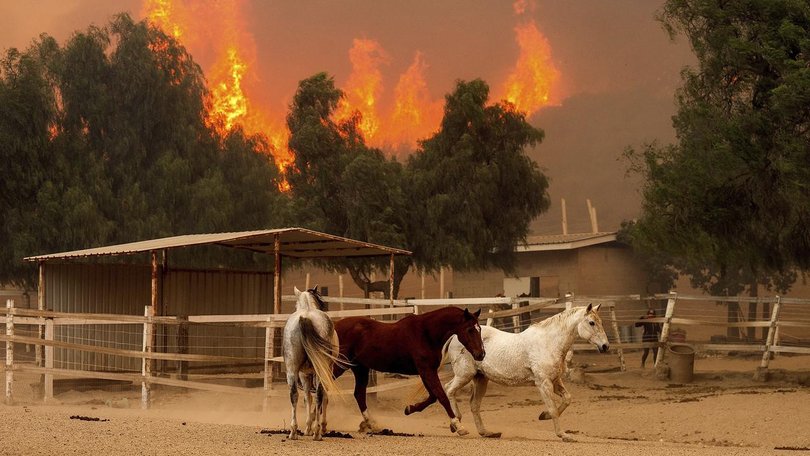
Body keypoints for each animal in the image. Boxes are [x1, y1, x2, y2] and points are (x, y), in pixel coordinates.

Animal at [280, 286, 344, 440]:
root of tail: (306, 317)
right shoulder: (318, 373)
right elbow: (319, 398)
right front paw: (317, 426)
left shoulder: (304, 374)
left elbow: (308, 398)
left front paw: (309, 426)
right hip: (319, 371)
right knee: (319, 395)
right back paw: (316, 432)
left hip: (292, 370)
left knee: (294, 395)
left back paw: (293, 431)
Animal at [332, 306, 482, 434]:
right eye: (470, 329)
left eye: (479, 328)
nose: (481, 354)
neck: (426, 333)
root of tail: (334, 326)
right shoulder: (426, 370)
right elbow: (441, 396)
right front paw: (458, 426)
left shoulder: (427, 371)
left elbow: (433, 397)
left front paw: (409, 409)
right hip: (339, 365)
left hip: (360, 369)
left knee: (359, 394)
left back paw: (371, 424)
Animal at [442, 304, 608, 440]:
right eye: (592, 322)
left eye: (600, 322)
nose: (605, 346)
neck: (549, 343)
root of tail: (455, 336)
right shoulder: (543, 383)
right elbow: (553, 409)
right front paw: (563, 435)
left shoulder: (555, 381)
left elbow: (567, 399)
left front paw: (544, 416)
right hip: (464, 375)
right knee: (449, 390)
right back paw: (458, 426)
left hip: (480, 378)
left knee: (474, 405)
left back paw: (486, 433)